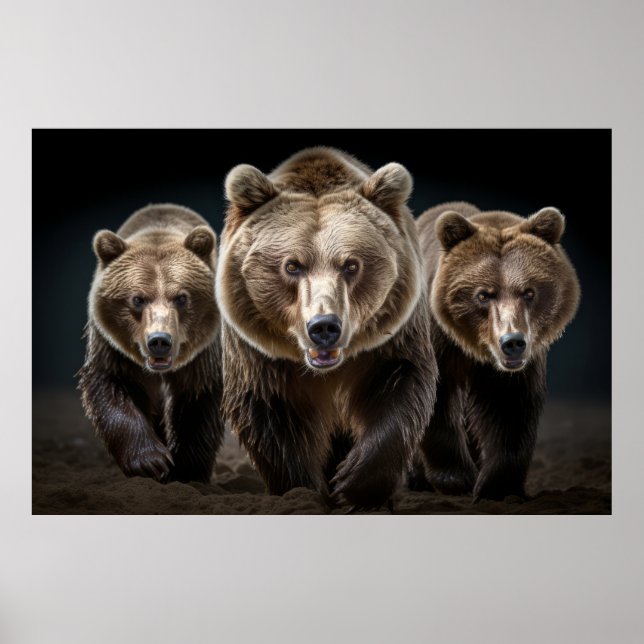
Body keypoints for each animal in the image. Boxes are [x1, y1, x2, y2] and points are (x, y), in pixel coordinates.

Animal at [78, 203, 225, 483]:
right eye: (137, 298)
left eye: (181, 297)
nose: (159, 341)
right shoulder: (112, 348)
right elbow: (112, 389)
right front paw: (150, 461)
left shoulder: (204, 354)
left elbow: (197, 402)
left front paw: (185, 470)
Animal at [216, 147, 437, 510]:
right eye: (292, 265)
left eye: (351, 265)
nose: (324, 327)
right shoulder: (261, 355)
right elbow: (272, 414)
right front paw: (305, 491)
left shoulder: (391, 340)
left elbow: (399, 387)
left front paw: (354, 484)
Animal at [411, 201, 581, 500]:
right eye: (482, 295)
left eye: (529, 292)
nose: (512, 341)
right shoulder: (438, 342)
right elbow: (434, 400)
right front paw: (457, 479)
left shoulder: (518, 369)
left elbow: (510, 410)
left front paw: (497, 486)